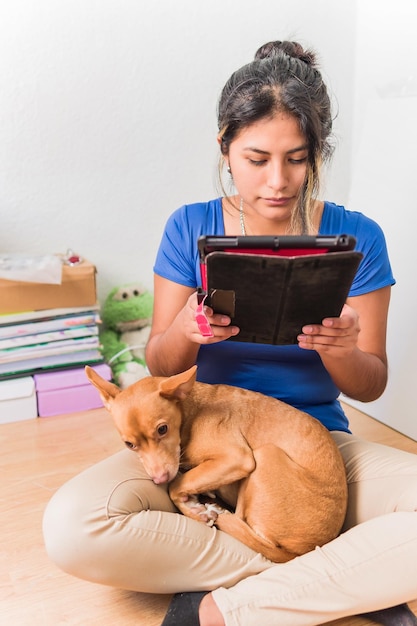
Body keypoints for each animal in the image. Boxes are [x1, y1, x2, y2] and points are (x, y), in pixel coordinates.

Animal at [85, 360, 348, 560]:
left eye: (162, 429)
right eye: (129, 445)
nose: (158, 478)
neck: (190, 413)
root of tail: (301, 552)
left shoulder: (236, 458)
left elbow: (176, 484)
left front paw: (193, 504)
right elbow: (179, 484)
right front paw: (194, 506)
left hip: (265, 454)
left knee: (239, 520)